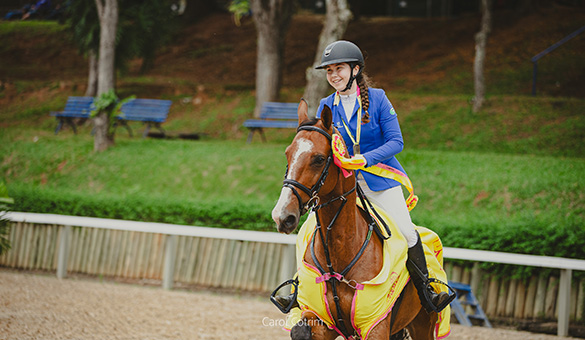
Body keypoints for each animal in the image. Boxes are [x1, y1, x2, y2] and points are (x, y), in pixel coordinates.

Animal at [272, 99, 436, 338]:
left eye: (318, 159)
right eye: (287, 154)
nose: (282, 216)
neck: (337, 254)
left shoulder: (375, 325)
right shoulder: (319, 319)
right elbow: (300, 331)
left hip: (423, 323)